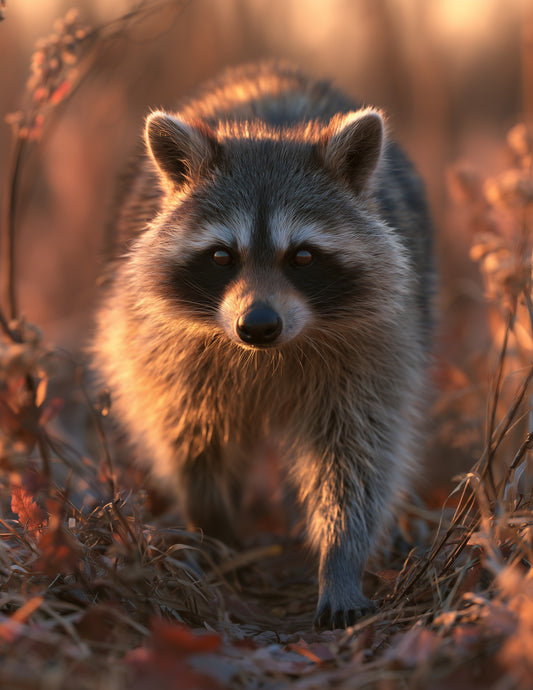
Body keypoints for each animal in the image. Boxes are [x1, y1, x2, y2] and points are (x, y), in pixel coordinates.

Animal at [92, 62, 433, 629]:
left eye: (303, 257)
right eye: (221, 256)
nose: (257, 325)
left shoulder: (377, 345)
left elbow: (357, 455)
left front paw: (341, 557)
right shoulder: (164, 348)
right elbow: (189, 436)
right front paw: (213, 524)